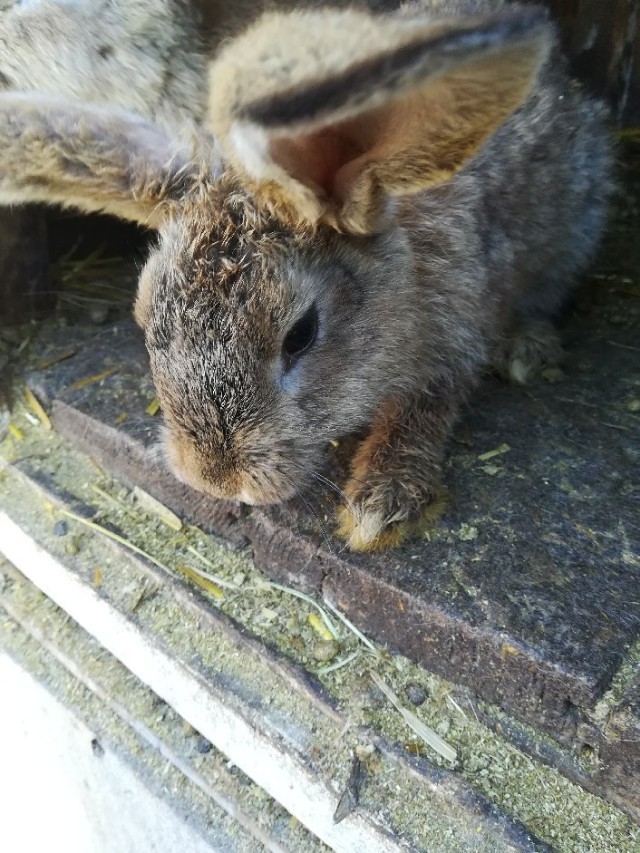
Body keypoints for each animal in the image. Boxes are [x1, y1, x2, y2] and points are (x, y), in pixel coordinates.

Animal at [0, 1, 614, 550]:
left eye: (301, 335)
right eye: (145, 321)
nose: (217, 478)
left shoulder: (457, 327)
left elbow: (425, 407)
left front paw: (379, 506)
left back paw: (529, 348)